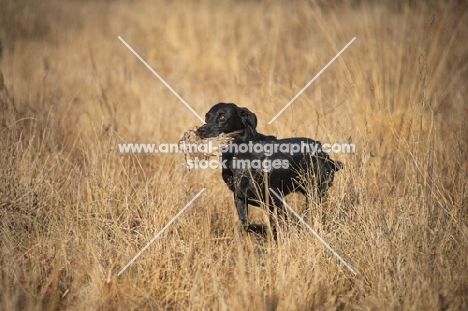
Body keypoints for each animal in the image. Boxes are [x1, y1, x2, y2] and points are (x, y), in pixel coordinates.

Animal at [196, 103, 342, 236]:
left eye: (222, 117)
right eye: (207, 116)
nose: (200, 130)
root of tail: (327, 156)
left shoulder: (275, 197)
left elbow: (281, 223)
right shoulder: (239, 196)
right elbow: (246, 224)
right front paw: (263, 229)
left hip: (314, 193)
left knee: (307, 216)